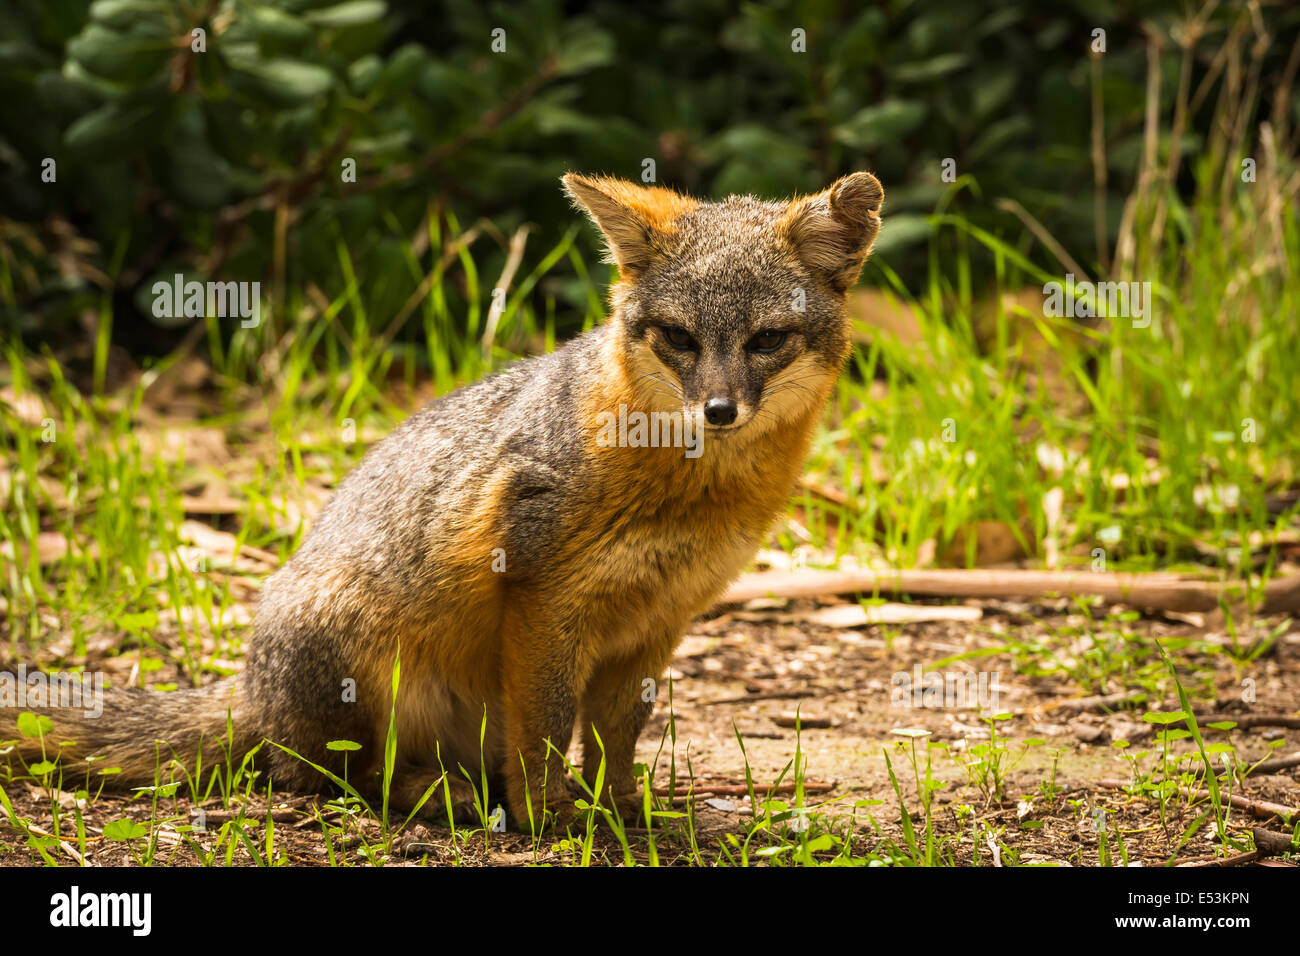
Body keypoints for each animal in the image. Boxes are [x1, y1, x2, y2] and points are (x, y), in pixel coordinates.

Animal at [2, 171, 883, 832]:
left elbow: (615, 736)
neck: (691, 490)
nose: (719, 411)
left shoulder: (659, 618)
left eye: (766, 340)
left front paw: (622, 811)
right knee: (328, 778)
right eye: (679, 338)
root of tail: (249, 687)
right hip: (360, 656)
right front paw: (548, 818)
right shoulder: (542, 598)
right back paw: (444, 797)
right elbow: (547, 728)